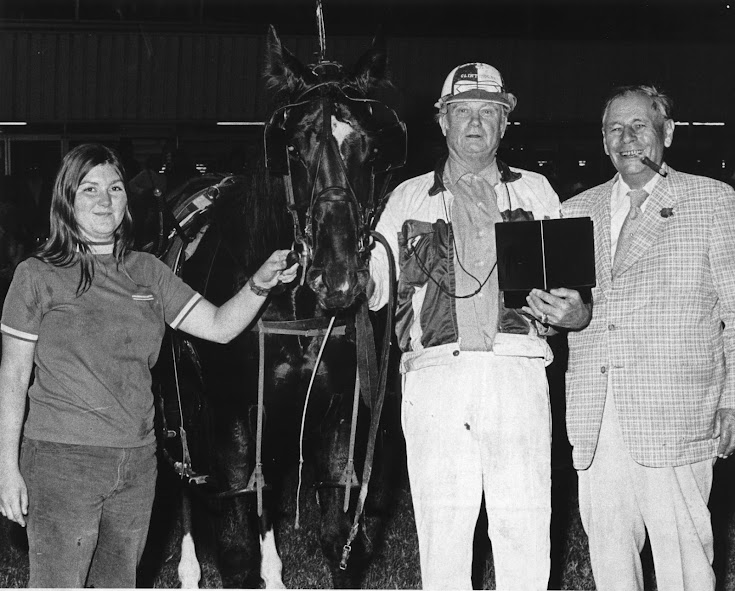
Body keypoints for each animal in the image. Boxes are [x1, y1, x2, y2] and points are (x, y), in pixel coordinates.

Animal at [152, 25, 406, 588]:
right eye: (292, 146)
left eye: (371, 147)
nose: (339, 278)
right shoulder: (230, 414)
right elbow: (235, 546)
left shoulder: (339, 409)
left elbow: (337, 533)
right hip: (181, 406)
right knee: (187, 482)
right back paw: (188, 568)